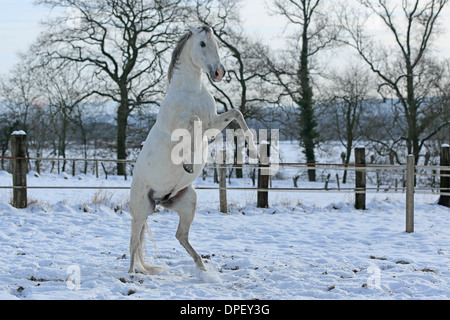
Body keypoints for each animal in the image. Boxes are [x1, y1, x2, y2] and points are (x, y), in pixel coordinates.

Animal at [128, 26, 258, 274]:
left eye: (216, 43)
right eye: (202, 44)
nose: (219, 73)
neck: (192, 91)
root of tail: (159, 200)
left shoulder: (212, 124)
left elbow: (236, 113)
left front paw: (254, 152)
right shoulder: (185, 126)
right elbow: (194, 123)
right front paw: (188, 163)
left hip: (188, 202)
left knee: (180, 236)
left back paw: (202, 267)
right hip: (140, 211)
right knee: (133, 244)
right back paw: (130, 275)